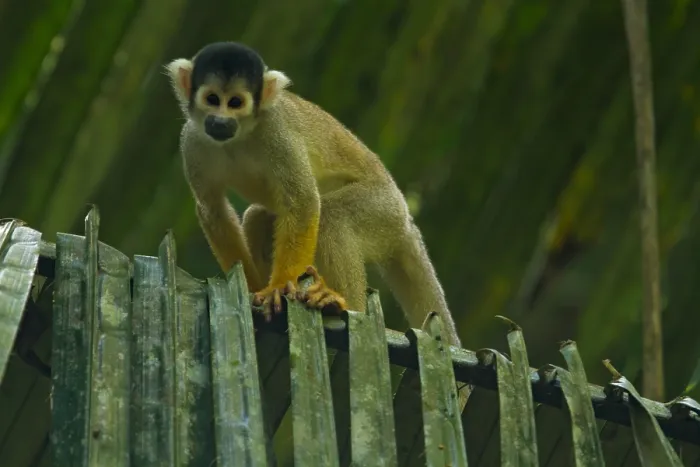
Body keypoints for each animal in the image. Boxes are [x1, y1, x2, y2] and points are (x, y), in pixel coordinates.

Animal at [165, 42, 463, 351]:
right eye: (212, 99)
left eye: (235, 102)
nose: (221, 121)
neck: (239, 136)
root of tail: (406, 222)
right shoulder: (191, 141)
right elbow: (213, 210)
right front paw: (253, 288)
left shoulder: (277, 133)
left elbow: (303, 201)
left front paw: (279, 286)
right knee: (258, 217)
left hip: (384, 209)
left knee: (333, 216)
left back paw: (344, 304)